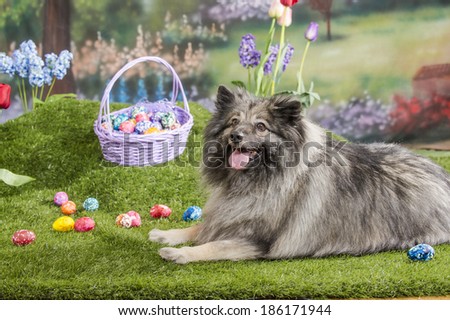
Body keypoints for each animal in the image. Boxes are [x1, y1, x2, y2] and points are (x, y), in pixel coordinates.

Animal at [149, 86, 450, 264]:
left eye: (261, 127)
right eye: (234, 122)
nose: (236, 136)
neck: (260, 178)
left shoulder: (258, 241)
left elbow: (213, 246)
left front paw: (180, 253)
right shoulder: (228, 217)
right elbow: (200, 228)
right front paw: (168, 235)